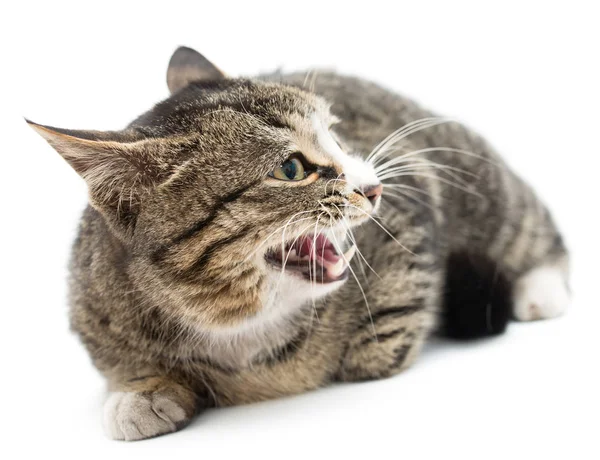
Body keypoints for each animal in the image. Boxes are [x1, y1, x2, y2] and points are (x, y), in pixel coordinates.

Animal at [29, 45, 572, 440]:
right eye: (291, 169)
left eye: (337, 138)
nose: (374, 187)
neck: (237, 325)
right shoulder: (93, 310)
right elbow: (122, 366)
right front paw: (141, 393)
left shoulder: (413, 199)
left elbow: (375, 347)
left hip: (480, 181)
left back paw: (540, 290)